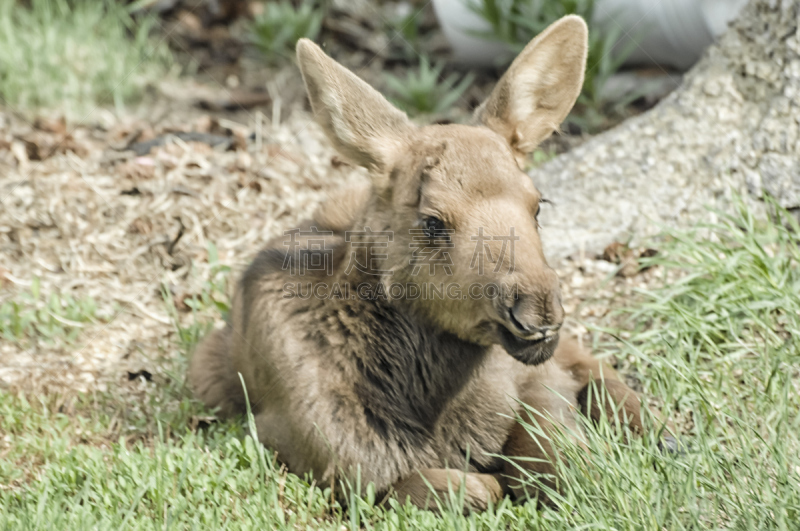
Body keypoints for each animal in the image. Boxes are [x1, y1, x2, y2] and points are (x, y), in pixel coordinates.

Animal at [189, 14, 668, 510]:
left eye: (538, 204)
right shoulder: (326, 463)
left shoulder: (540, 381)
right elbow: (474, 486)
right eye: (432, 221)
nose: (536, 310)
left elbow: (564, 461)